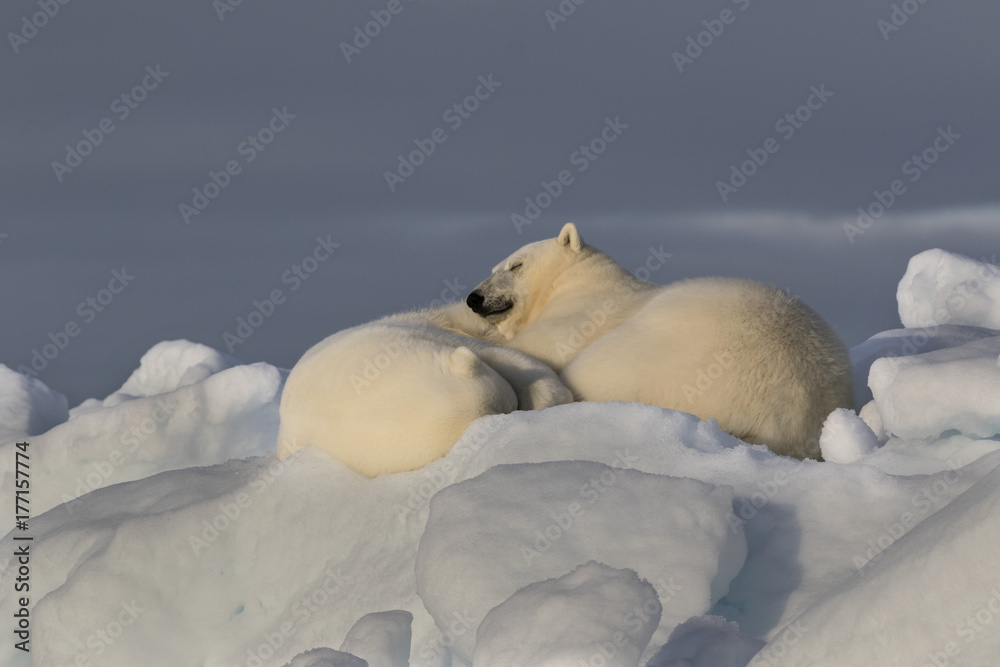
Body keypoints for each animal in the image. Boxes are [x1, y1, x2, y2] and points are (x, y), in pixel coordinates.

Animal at [466, 223, 853, 460]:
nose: (474, 298)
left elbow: (536, 348)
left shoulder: (580, 318)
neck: (579, 281)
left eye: (516, 265)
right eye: (493, 268)